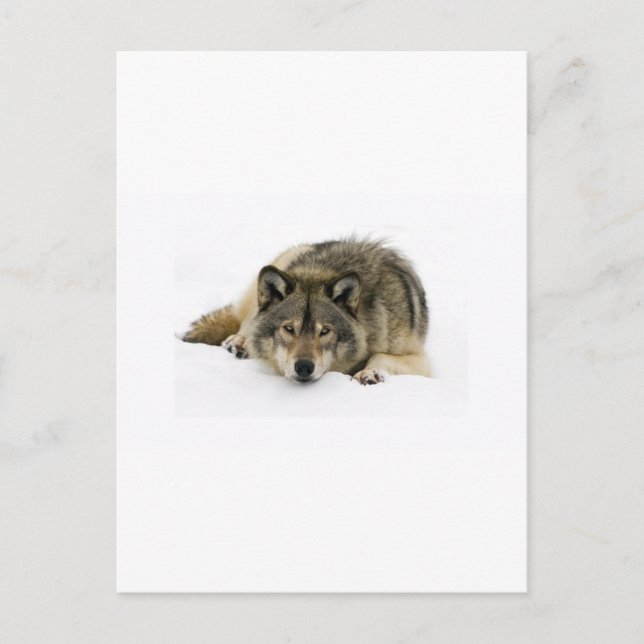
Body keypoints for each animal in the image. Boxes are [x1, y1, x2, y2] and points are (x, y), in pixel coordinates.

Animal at [182, 238, 431, 385]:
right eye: (289, 328)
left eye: (325, 331)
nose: (303, 367)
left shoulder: (422, 361)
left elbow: (379, 355)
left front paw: (369, 373)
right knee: (248, 321)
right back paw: (239, 342)